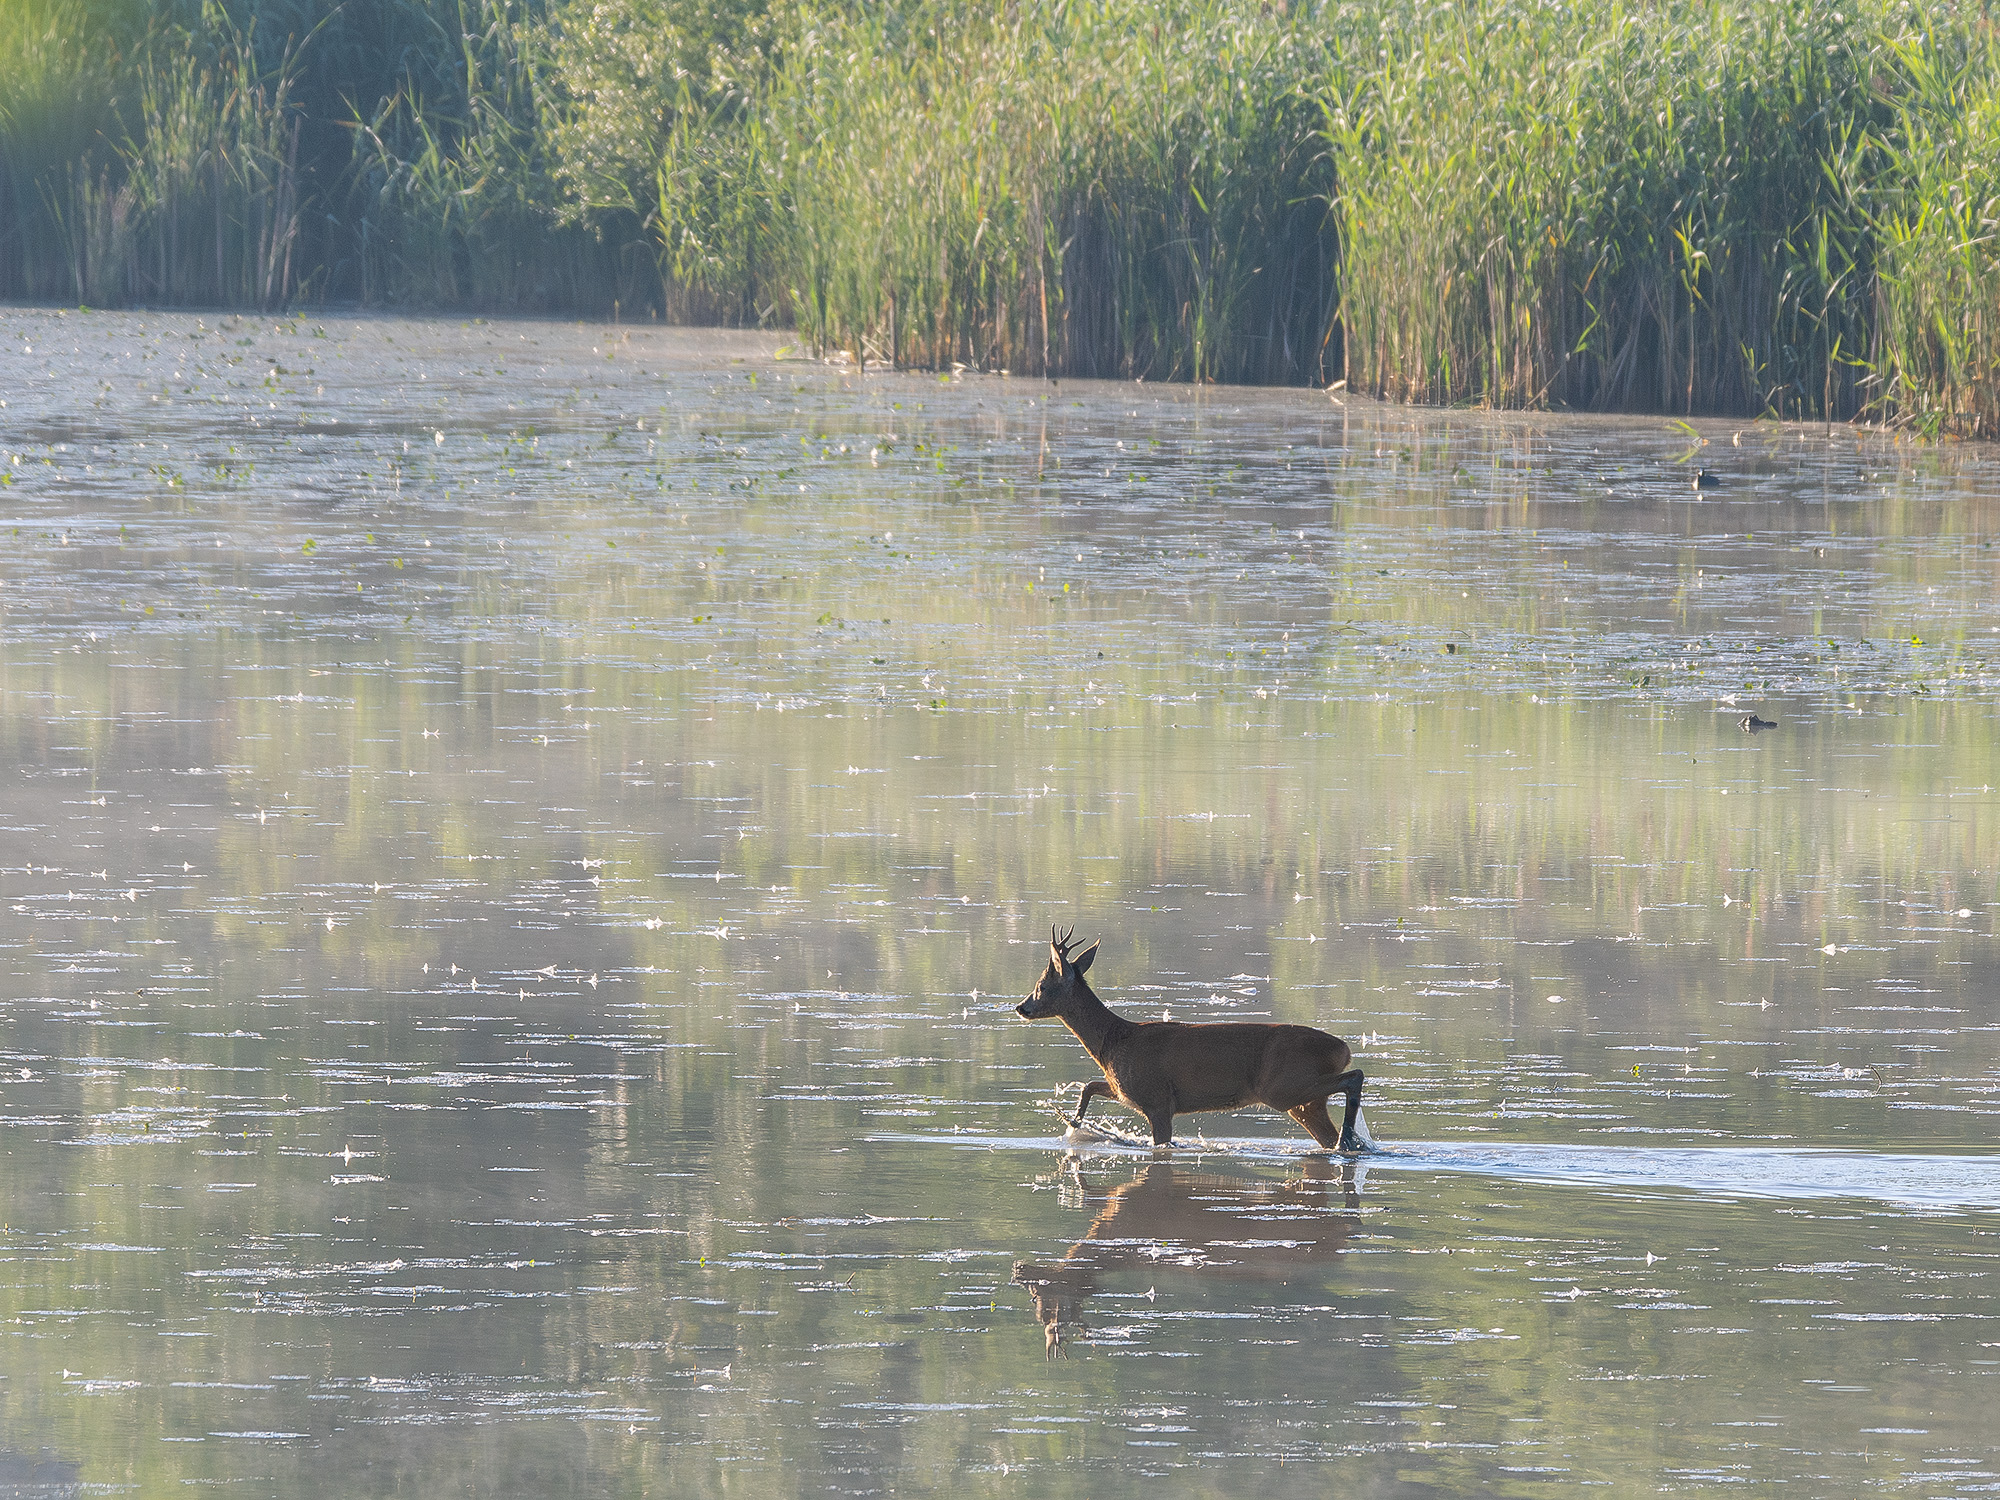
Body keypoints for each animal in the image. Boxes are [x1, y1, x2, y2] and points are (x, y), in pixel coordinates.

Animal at [1016, 924, 1367, 1150]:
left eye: (1041, 986)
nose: (1022, 1007)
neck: (1114, 1042)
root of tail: (1342, 1048)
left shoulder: (1157, 1098)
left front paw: (1075, 1123)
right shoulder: (1125, 1089)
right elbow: (1089, 1085)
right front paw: (1074, 1124)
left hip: (1283, 1086)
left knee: (1356, 1075)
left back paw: (1349, 1138)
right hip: (1303, 1102)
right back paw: (1349, 1143)